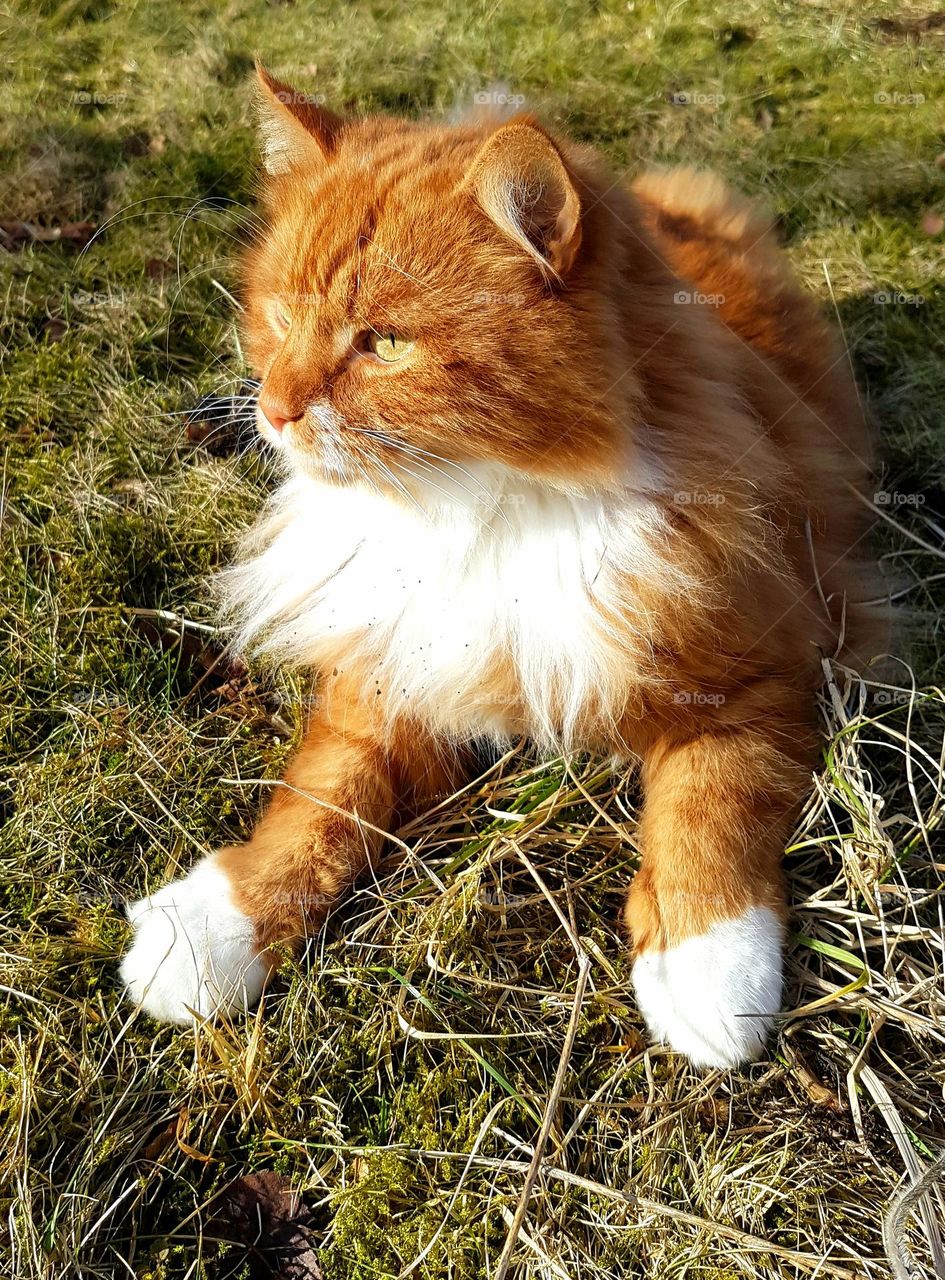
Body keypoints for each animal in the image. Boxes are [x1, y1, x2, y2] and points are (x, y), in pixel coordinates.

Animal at [119, 67, 875, 1070]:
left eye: (385, 343)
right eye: (279, 317)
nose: (273, 411)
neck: (471, 510)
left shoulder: (773, 654)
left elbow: (711, 810)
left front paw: (710, 968)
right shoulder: (389, 669)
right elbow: (318, 807)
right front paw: (217, 925)